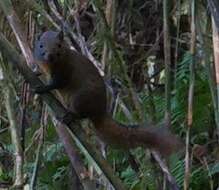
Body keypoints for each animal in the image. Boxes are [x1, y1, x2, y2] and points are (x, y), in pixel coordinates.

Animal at [34, 30, 181, 156]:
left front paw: (41, 88)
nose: (50, 55)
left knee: (81, 114)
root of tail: (101, 111)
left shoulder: (65, 72)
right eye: (40, 46)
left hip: (79, 98)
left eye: (58, 45)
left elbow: (56, 84)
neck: (50, 66)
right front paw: (35, 72)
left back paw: (69, 116)